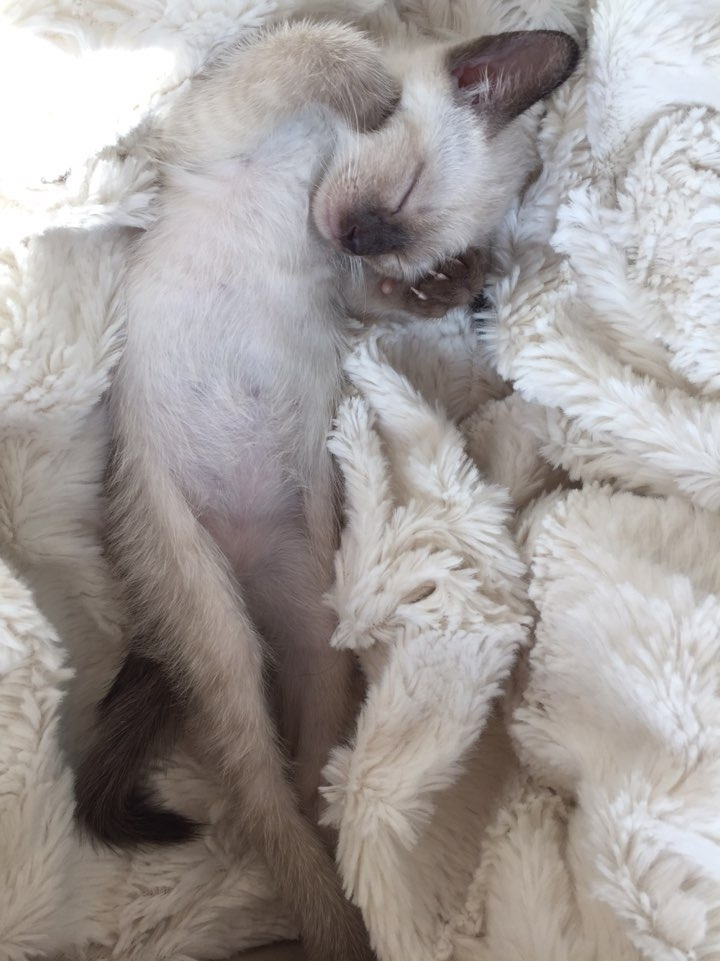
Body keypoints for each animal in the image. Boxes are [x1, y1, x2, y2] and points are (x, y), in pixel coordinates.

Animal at [74, 19, 579, 961]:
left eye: (402, 237)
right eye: (401, 192)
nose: (358, 236)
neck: (311, 178)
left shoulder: (352, 290)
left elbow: (382, 300)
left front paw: (455, 285)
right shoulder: (214, 125)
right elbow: (315, 50)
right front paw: (369, 85)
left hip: (310, 626)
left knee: (295, 785)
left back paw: (338, 892)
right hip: (204, 598)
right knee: (256, 778)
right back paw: (327, 912)